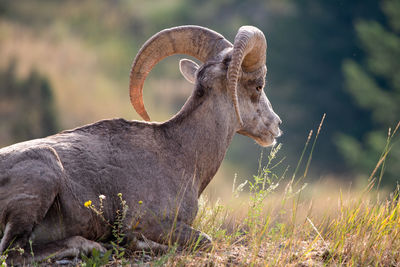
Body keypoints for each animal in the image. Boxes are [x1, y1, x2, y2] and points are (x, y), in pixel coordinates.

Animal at [0, 25, 282, 264]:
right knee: (13, 252)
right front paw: (130, 243)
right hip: (43, 177)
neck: (180, 153)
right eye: (259, 85)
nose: (276, 126)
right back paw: (96, 246)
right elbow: (205, 241)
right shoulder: (154, 223)